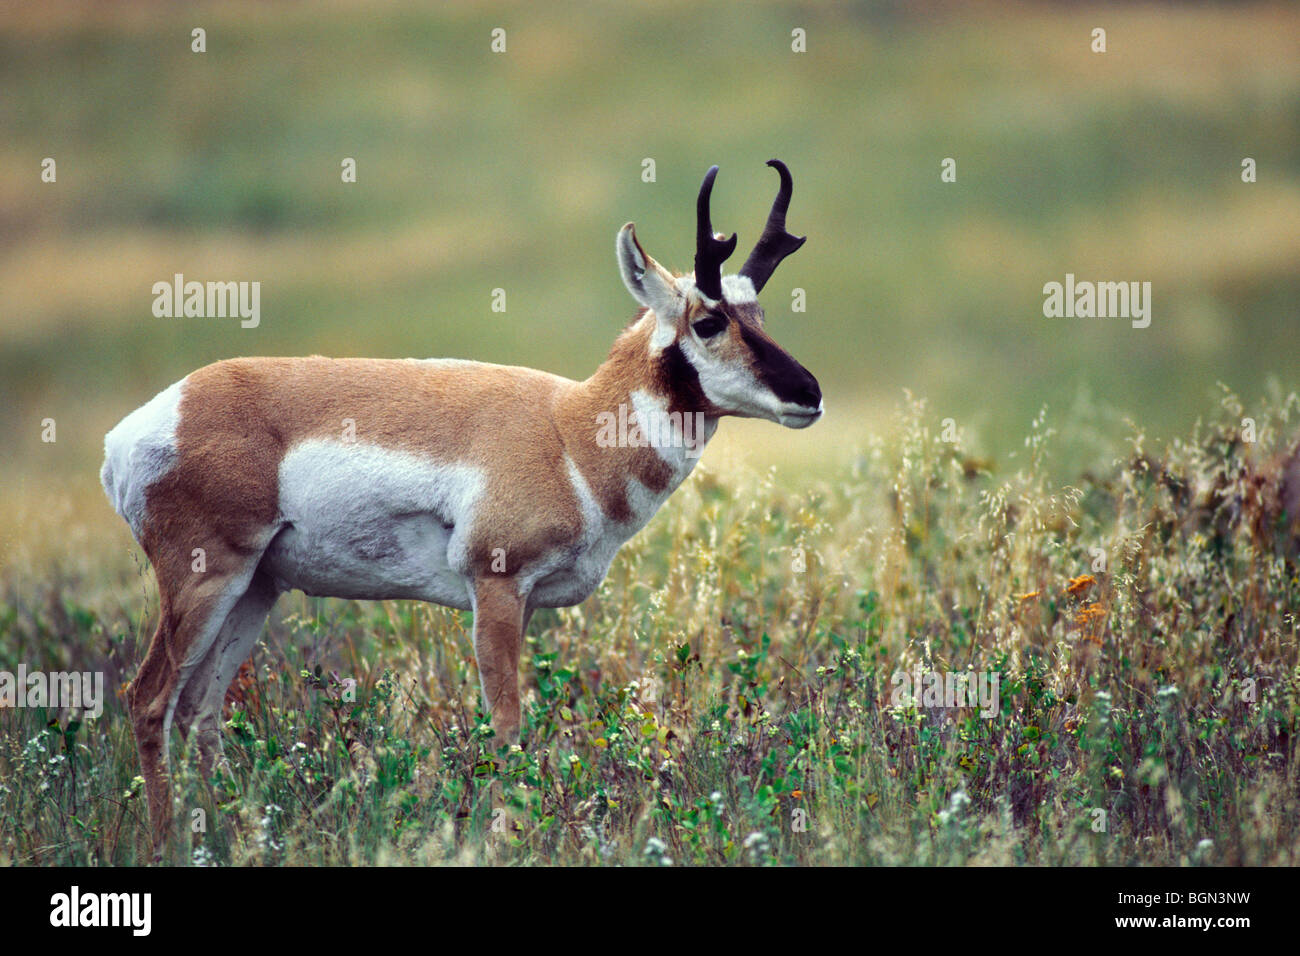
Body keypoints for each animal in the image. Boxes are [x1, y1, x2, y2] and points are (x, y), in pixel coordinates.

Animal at [101, 160, 822, 855]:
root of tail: (145, 425)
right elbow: (505, 725)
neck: (568, 430)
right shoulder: (496, 587)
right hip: (204, 583)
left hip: (255, 589)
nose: (809, 394)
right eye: (708, 321)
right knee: (148, 699)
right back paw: (167, 842)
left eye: (759, 315)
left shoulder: (524, 603)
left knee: (199, 709)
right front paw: (508, 836)